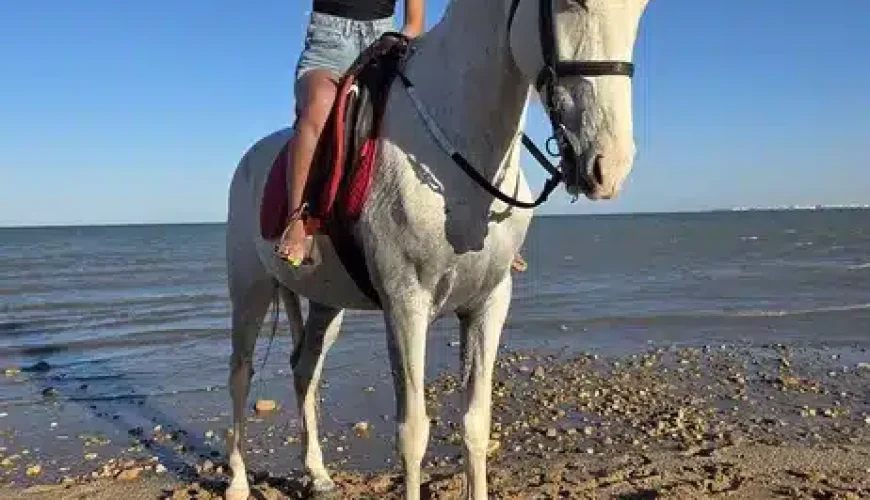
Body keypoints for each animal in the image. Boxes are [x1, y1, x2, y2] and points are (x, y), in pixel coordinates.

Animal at [224, 0, 652, 498]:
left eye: (640, 11)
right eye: (572, 5)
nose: (611, 167)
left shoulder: (490, 301)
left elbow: (476, 425)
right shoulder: (406, 303)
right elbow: (413, 434)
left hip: (327, 303)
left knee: (304, 369)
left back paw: (318, 474)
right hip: (250, 290)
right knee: (240, 374)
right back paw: (237, 482)